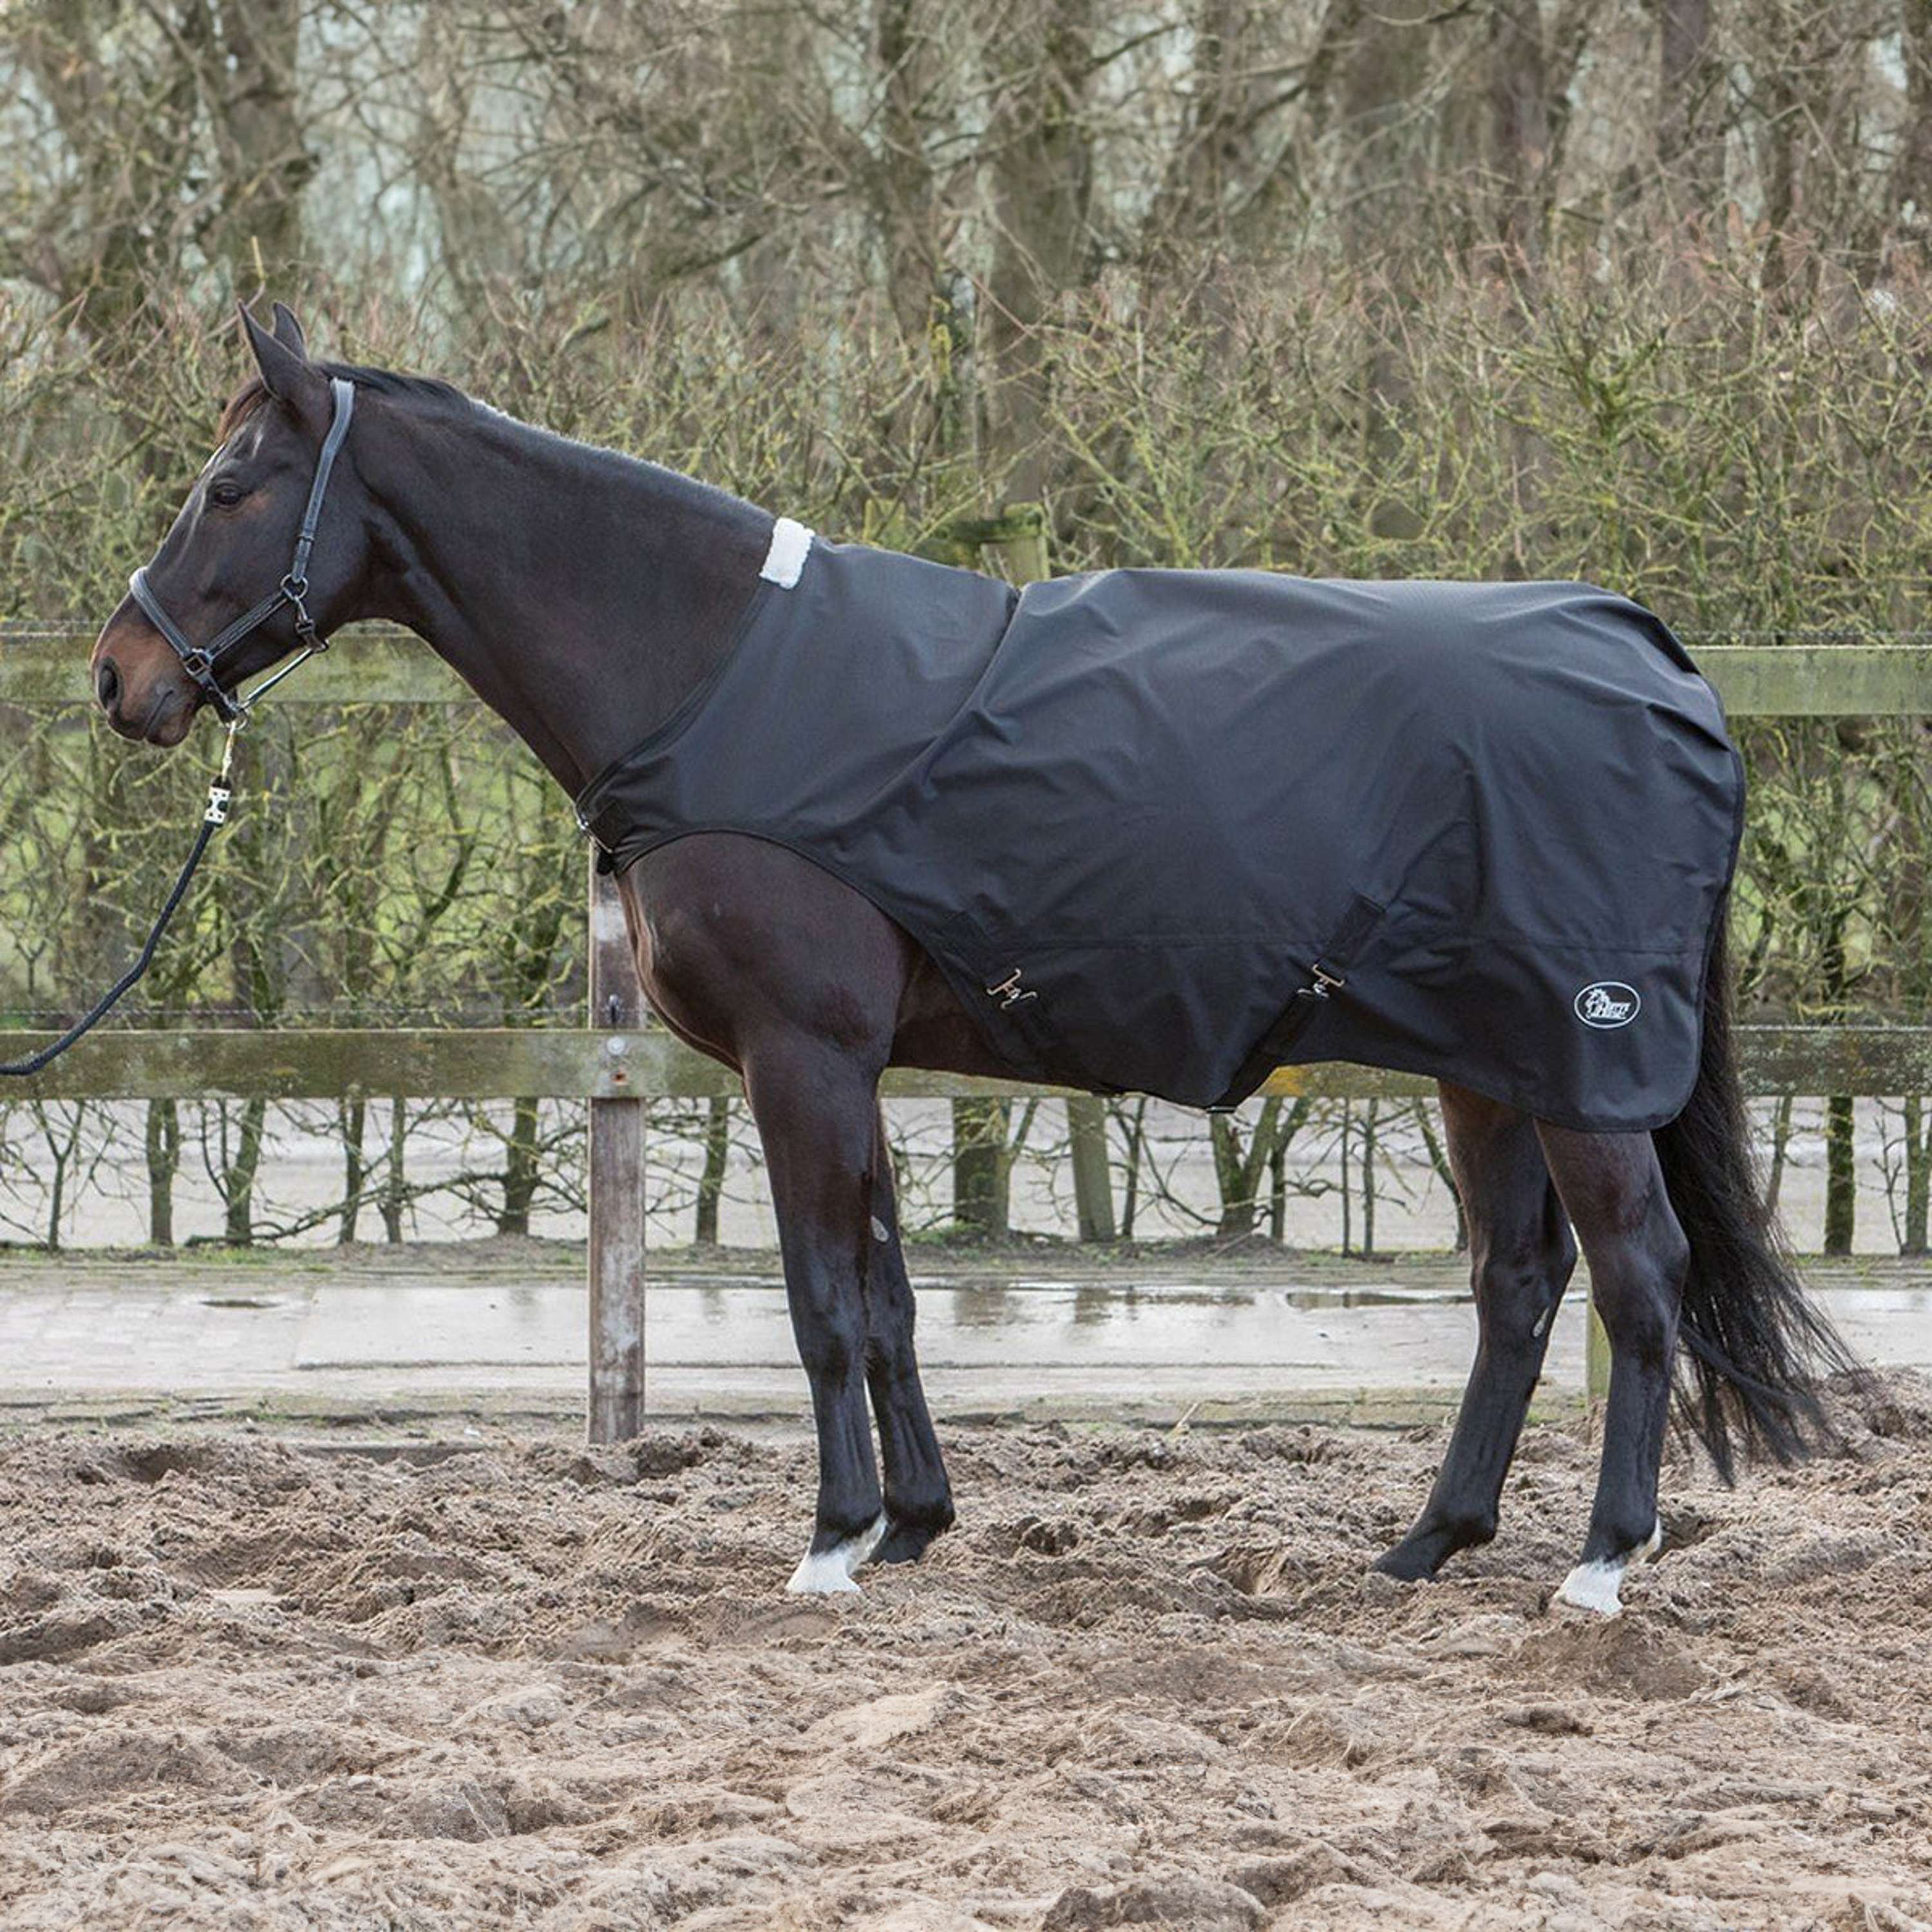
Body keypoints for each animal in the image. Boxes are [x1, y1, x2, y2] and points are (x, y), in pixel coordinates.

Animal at [89, 304, 1851, 1612]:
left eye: (232, 482)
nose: (119, 681)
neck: (713, 670)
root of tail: (1655, 660)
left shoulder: (801, 1055)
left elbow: (821, 1296)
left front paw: (827, 1544)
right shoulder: (847, 1065)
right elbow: (884, 1291)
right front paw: (912, 1520)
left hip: (1585, 1065)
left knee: (1638, 1280)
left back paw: (1601, 1564)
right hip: (1487, 1067)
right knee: (1516, 1285)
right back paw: (1427, 1543)